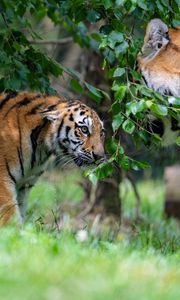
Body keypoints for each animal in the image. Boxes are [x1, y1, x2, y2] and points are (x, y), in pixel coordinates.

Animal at [0, 91, 105, 225]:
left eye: (101, 133)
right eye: (84, 129)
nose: (100, 156)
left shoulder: (24, 185)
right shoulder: (3, 181)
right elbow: (11, 218)